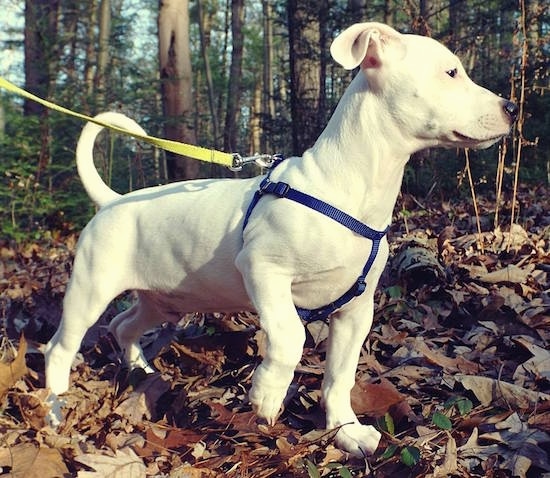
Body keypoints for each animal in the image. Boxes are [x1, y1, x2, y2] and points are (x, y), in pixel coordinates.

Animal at [45, 22, 520, 456]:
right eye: (451, 72)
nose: (512, 107)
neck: (347, 190)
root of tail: (112, 201)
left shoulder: (355, 311)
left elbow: (340, 376)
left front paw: (346, 431)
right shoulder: (264, 271)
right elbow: (290, 336)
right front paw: (267, 393)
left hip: (164, 301)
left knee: (122, 325)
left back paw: (141, 373)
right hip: (90, 289)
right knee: (60, 347)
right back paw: (54, 408)